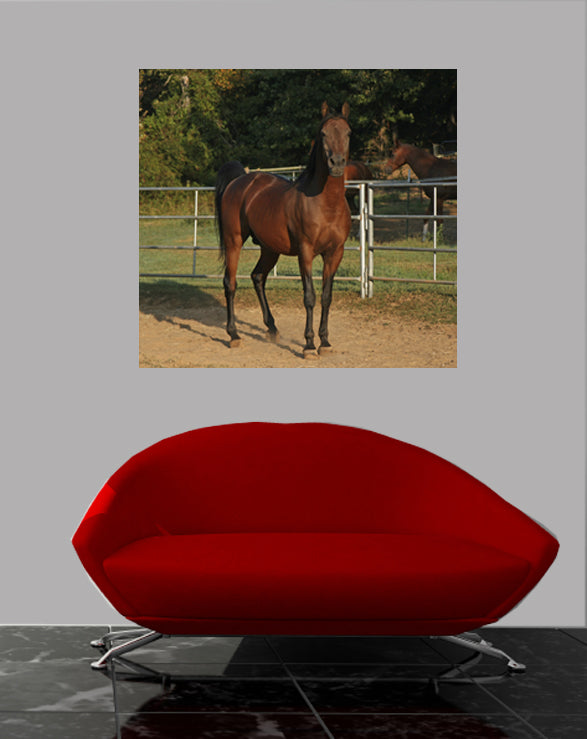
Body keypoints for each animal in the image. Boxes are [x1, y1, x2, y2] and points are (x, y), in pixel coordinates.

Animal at [215, 102, 352, 357]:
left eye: (348, 133)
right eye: (323, 133)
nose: (337, 163)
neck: (326, 204)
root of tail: (238, 181)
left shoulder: (335, 253)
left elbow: (326, 296)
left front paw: (325, 342)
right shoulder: (305, 253)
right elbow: (309, 296)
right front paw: (309, 345)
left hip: (270, 249)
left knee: (258, 277)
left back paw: (272, 329)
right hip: (233, 241)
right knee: (230, 284)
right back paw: (234, 335)